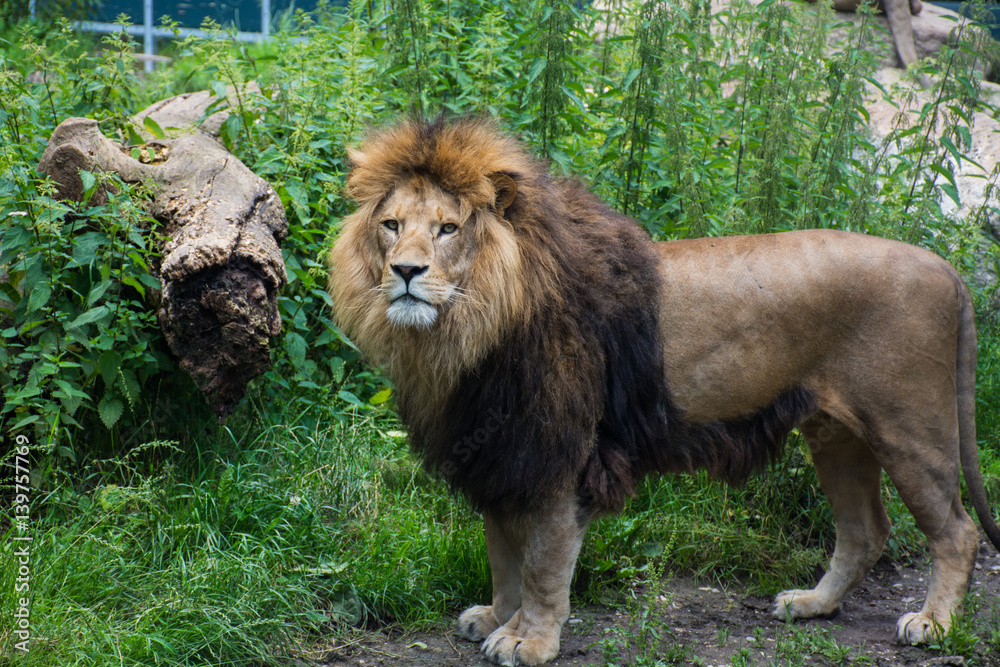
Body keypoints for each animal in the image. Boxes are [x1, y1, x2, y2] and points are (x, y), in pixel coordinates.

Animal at [327, 117, 1000, 666]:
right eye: (391, 226)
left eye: (448, 229)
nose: (406, 272)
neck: (468, 334)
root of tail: (947, 268)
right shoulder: (502, 454)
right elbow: (503, 555)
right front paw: (496, 616)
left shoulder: (560, 457)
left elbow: (542, 565)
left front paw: (526, 639)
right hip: (836, 435)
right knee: (864, 531)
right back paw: (812, 604)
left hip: (911, 428)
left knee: (956, 532)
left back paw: (934, 625)